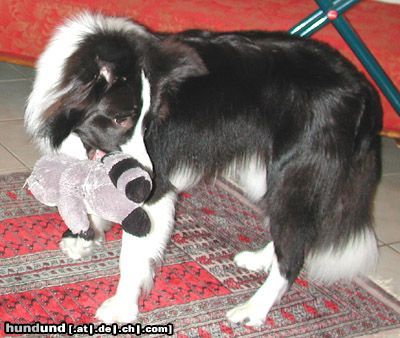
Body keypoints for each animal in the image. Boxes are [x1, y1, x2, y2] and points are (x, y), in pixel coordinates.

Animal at [24, 12, 382, 324]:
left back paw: (253, 309)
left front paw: (121, 307)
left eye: (146, 121)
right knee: (297, 233)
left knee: (293, 252)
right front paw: (86, 237)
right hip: (269, 174)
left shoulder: (155, 189)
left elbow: (134, 256)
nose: (147, 181)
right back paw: (260, 260)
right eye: (120, 119)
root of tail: (360, 89)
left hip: (295, 174)